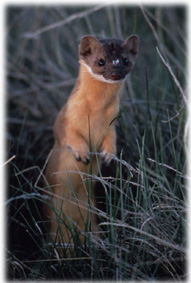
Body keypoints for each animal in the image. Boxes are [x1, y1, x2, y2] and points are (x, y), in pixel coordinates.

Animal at [43, 35, 139, 244]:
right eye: (100, 61)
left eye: (125, 60)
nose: (116, 73)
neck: (96, 115)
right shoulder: (66, 118)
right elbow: (69, 135)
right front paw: (82, 153)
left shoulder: (112, 125)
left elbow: (111, 139)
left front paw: (108, 155)